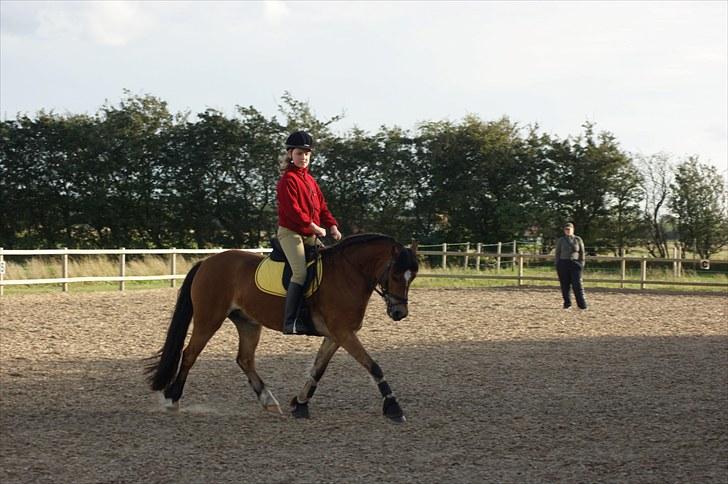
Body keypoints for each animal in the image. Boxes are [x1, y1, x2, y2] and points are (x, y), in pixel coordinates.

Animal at [145, 233, 419, 422]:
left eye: (412, 276)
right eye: (395, 275)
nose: (399, 313)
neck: (348, 273)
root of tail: (207, 262)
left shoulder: (336, 335)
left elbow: (318, 370)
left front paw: (300, 404)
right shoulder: (343, 332)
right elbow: (373, 365)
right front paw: (394, 408)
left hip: (248, 323)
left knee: (245, 359)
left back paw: (269, 401)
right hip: (209, 318)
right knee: (190, 354)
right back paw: (172, 399)